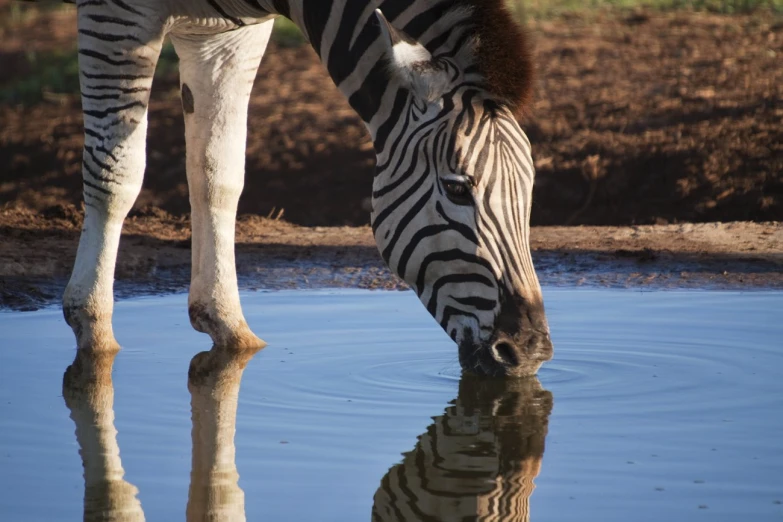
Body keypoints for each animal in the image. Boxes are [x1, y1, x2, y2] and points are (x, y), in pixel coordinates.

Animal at [59, 0, 552, 374]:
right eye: (456, 189)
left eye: (531, 193)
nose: (531, 352)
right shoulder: (116, 13)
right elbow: (117, 173)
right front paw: (94, 332)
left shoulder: (226, 37)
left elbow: (218, 174)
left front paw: (226, 323)